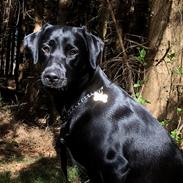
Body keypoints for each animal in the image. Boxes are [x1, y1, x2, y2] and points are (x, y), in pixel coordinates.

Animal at [24, 23, 183, 182]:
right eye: (45, 48)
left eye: (73, 52)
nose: (51, 76)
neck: (83, 98)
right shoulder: (91, 170)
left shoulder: (114, 165)